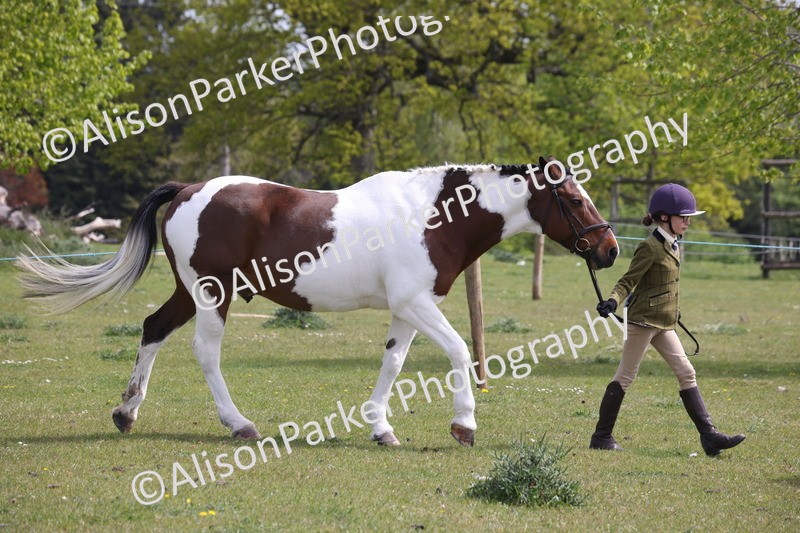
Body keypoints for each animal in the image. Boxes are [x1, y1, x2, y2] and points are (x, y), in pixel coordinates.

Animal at [17, 156, 618, 447]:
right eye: (572, 199)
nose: (609, 249)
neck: (435, 216)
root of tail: (189, 189)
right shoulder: (418, 304)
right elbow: (458, 352)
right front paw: (464, 425)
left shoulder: (406, 309)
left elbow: (393, 363)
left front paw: (381, 428)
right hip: (213, 294)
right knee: (205, 353)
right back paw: (238, 424)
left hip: (189, 293)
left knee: (152, 329)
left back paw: (126, 412)